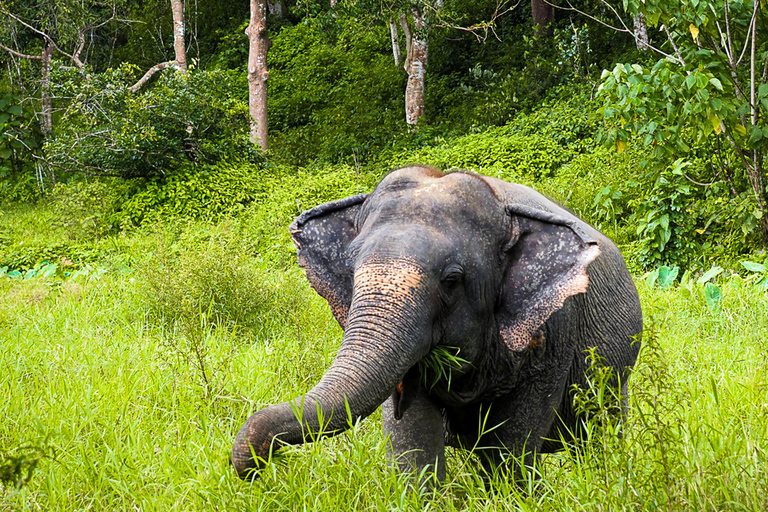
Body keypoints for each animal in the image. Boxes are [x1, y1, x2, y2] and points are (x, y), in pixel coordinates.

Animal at [232, 166, 640, 482]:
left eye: (451, 280)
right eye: (350, 267)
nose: (259, 466)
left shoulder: (555, 329)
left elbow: (511, 445)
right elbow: (411, 438)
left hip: (616, 375)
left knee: (599, 434)